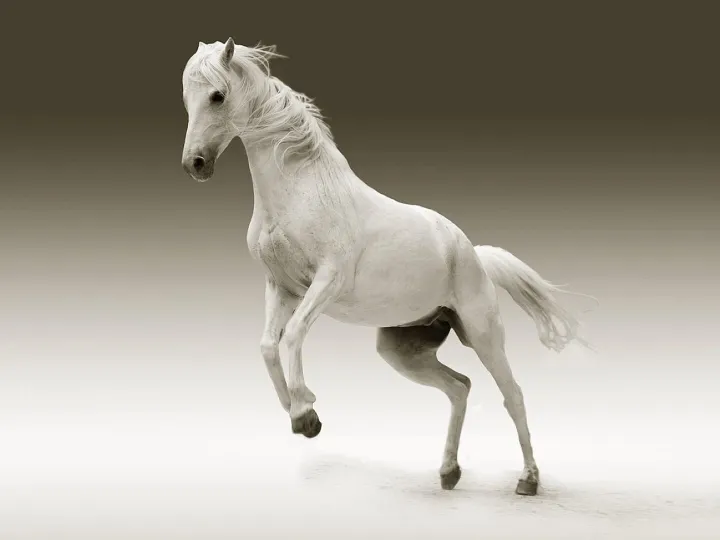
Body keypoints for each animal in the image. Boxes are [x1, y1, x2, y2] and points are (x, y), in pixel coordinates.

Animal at [180, 38, 594, 496]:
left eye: (217, 95)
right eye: (186, 98)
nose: (195, 164)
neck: (301, 191)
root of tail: (473, 254)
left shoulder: (327, 281)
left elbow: (293, 335)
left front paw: (306, 412)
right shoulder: (281, 286)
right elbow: (269, 345)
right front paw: (300, 413)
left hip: (483, 334)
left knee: (513, 395)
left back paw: (528, 480)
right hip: (402, 349)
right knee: (459, 388)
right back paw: (449, 472)